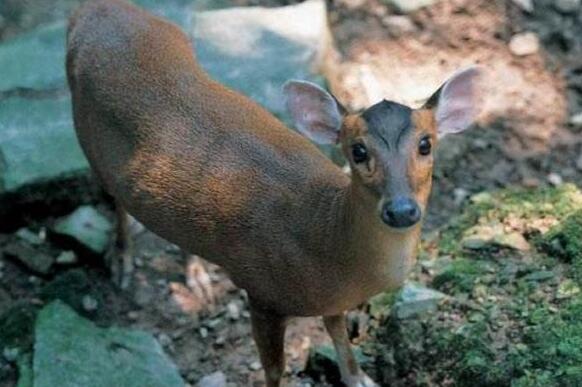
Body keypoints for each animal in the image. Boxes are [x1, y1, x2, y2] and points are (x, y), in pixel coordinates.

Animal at [65, 1, 484, 386]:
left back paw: (197, 276)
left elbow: (340, 339)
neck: (328, 244)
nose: (401, 210)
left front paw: (359, 377)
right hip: (87, 135)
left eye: (426, 144)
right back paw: (121, 259)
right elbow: (274, 369)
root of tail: (95, 10)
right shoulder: (262, 290)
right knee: (114, 196)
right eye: (358, 151)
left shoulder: (331, 300)